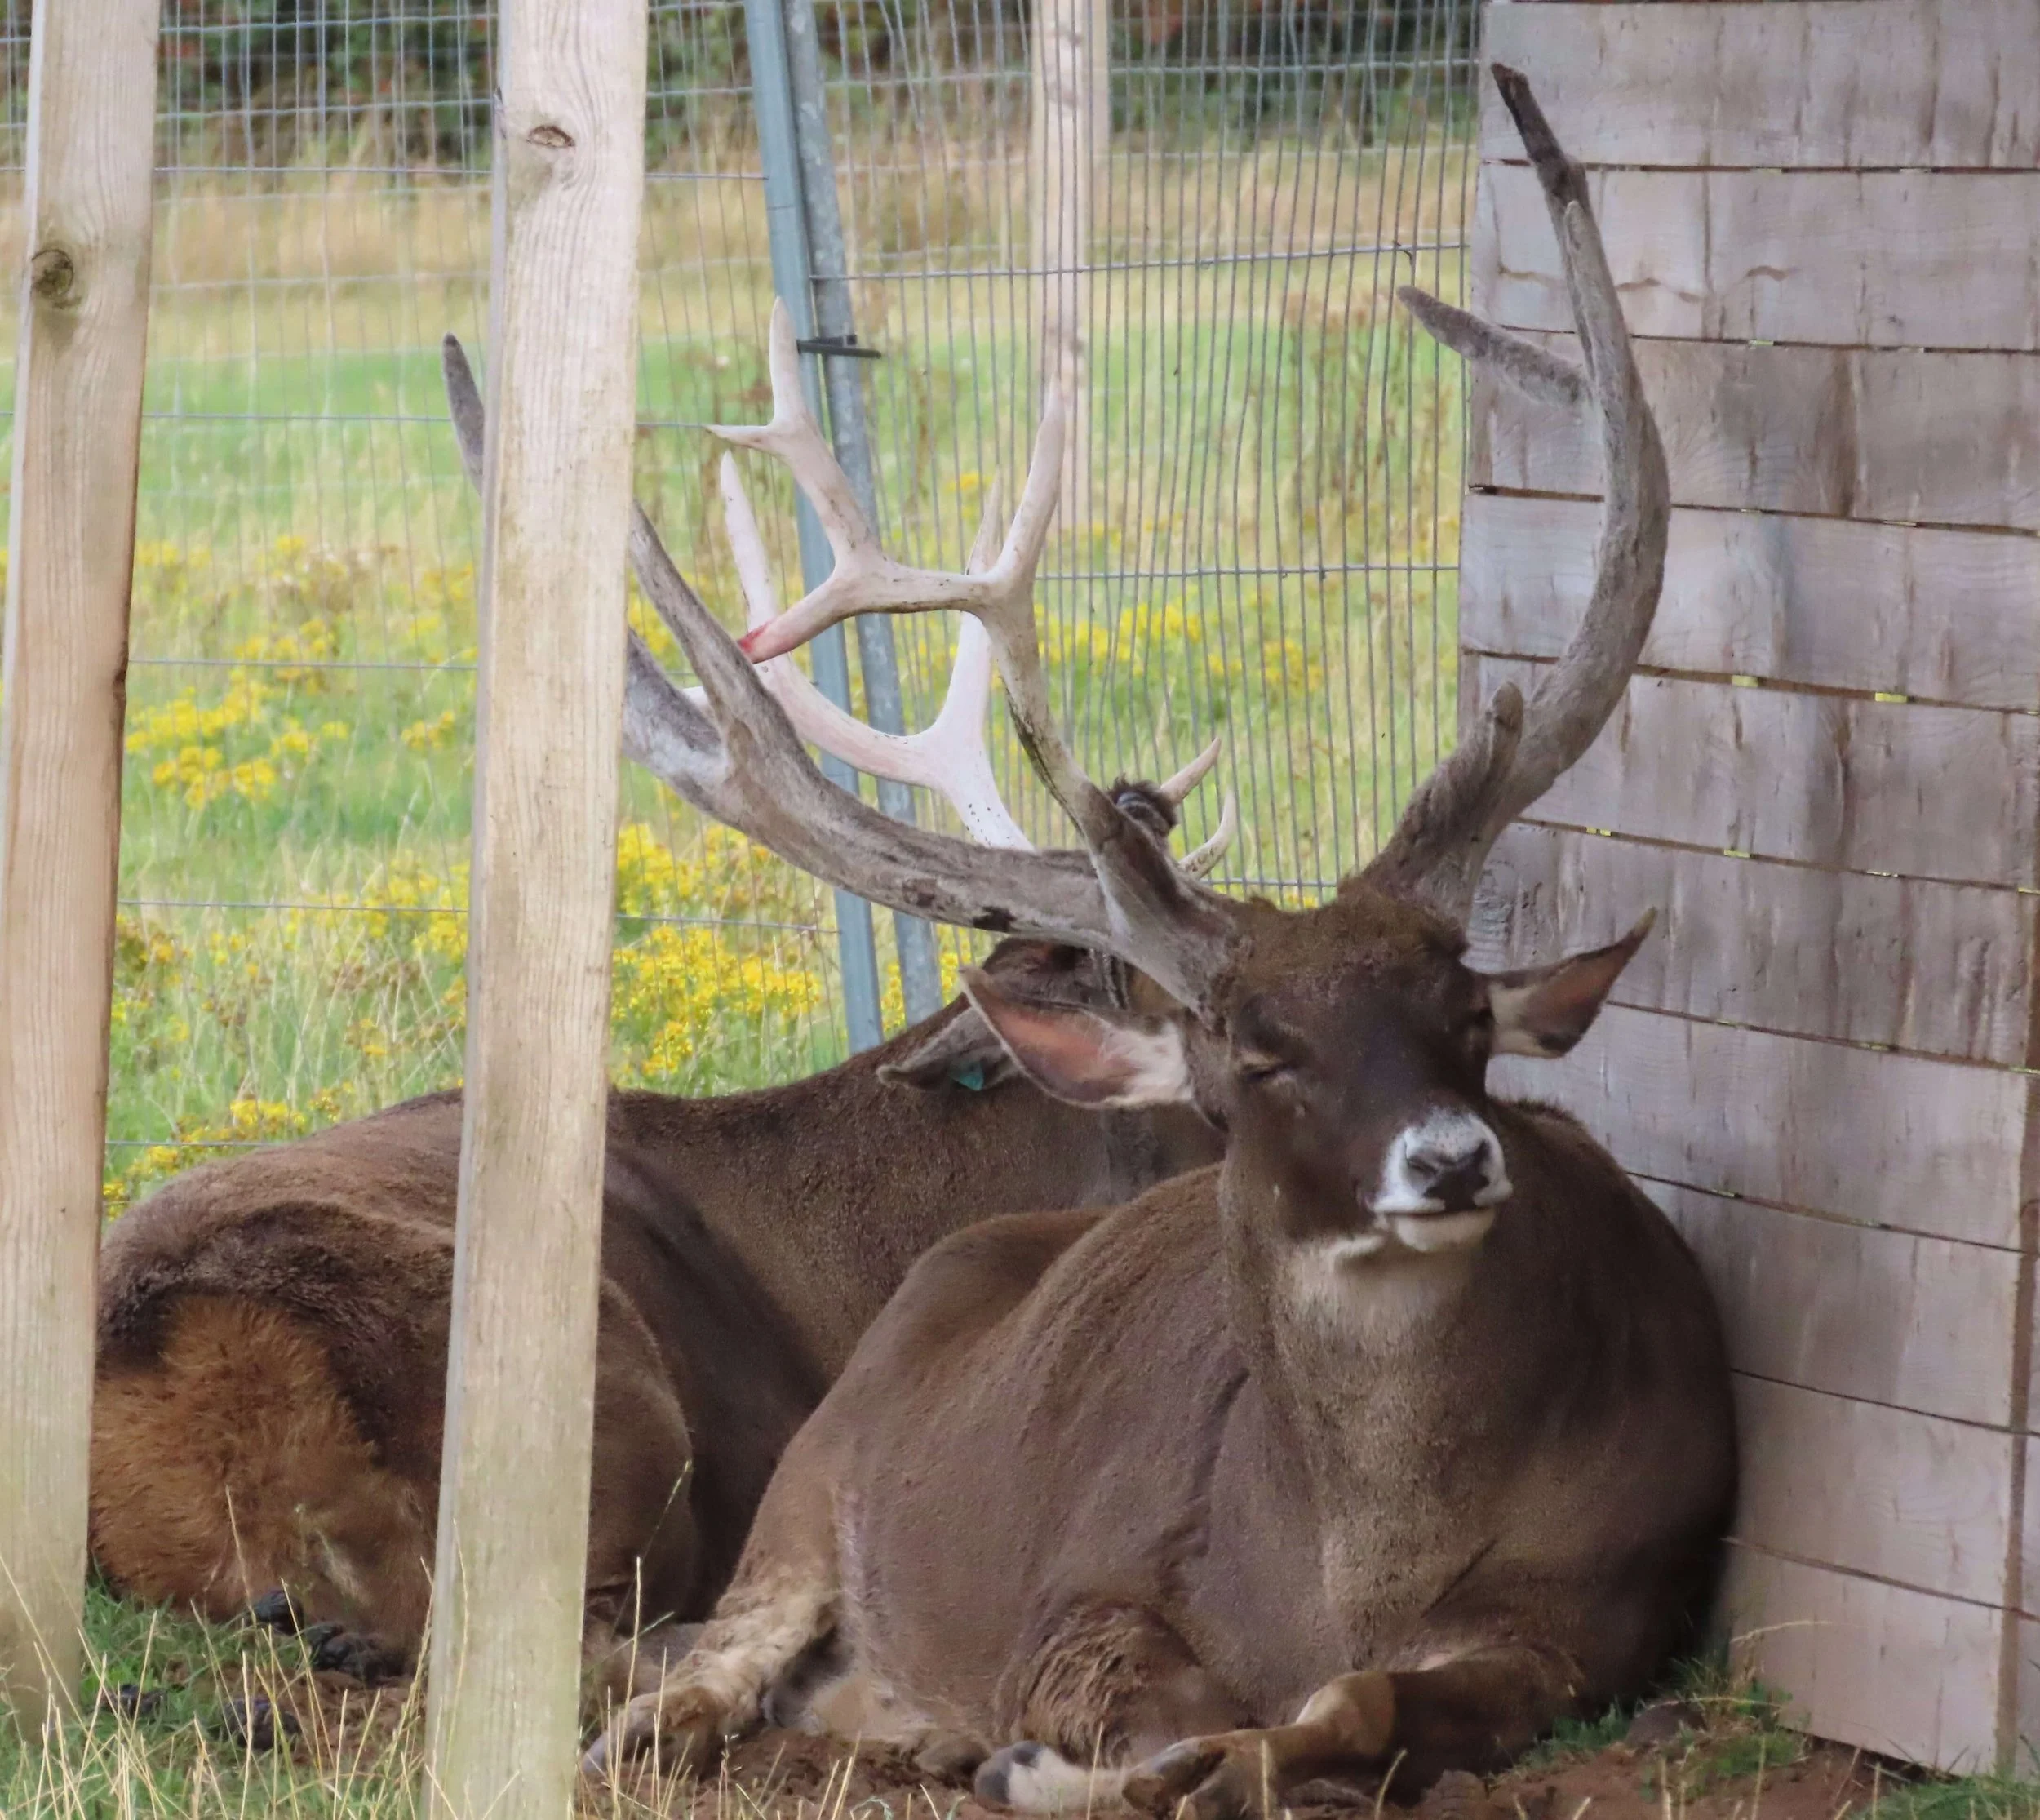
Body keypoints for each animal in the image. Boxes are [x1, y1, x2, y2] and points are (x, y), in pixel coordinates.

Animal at [574, 67, 1735, 1809]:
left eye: (1467, 1015)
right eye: (1254, 1052)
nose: (1452, 1159)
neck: (1355, 1570)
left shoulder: (1600, 1620)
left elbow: (1337, 1716)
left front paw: (1117, 1757)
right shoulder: (1086, 1593)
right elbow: (1158, 1719)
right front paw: (1059, 1762)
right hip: (801, 1495)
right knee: (687, 1687)